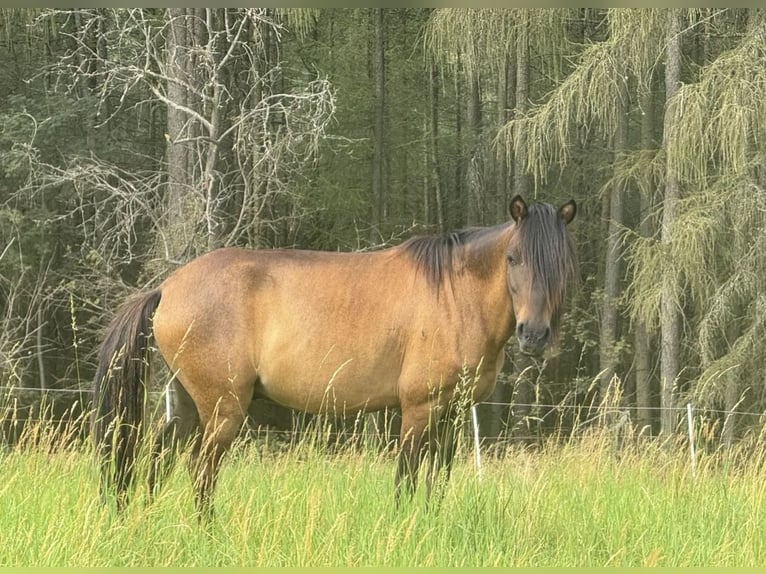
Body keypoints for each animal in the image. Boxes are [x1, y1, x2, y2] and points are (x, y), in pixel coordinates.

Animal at [91, 196, 576, 520]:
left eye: (562, 262)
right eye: (512, 257)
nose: (534, 334)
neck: (455, 296)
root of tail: (166, 288)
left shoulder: (454, 413)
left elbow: (437, 478)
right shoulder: (418, 409)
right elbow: (406, 477)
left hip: (188, 403)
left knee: (158, 460)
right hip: (222, 408)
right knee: (200, 469)